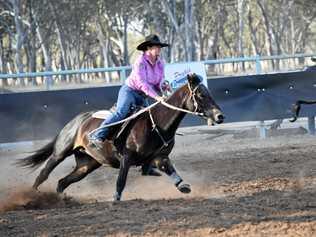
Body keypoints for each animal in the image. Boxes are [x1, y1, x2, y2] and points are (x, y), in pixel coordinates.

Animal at [17, 73, 225, 200]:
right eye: (200, 95)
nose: (220, 116)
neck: (156, 123)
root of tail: (75, 121)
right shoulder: (126, 157)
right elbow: (121, 181)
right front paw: (115, 200)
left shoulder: (160, 156)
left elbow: (169, 170)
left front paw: (183, 186)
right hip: (60, 153)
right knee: (43, 174)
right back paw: (32, 196)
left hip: (87, 164)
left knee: (63, 182)